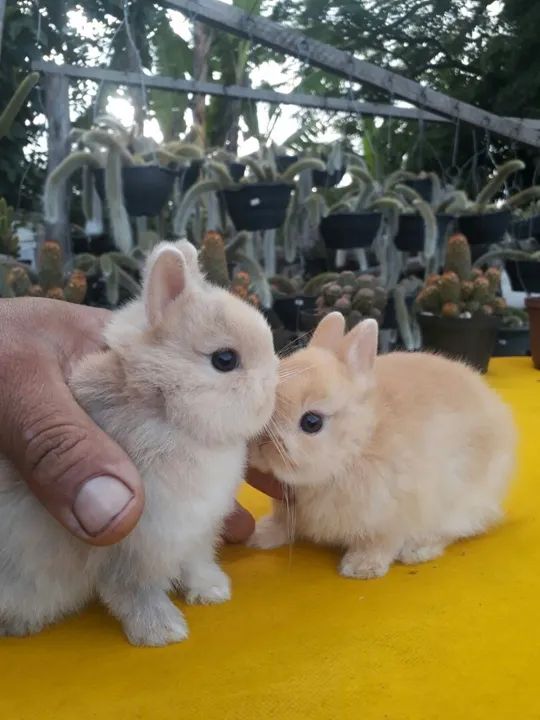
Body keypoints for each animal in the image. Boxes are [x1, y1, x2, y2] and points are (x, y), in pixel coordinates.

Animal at [0, 240, 278, 645]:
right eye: (225, 359)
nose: (273, 397)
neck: (167, 409)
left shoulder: (195, 531)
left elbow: (195, 562)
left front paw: (213, 591)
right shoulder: (134, 545)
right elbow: (135, 591)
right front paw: (163, 632)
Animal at [248, 312, 516, 580]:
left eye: (311, 422)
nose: (259, 442)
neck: (359, 446)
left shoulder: (389, 515)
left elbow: (380, 543)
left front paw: (360, 568)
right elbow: (282, 523)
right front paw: (259, 536)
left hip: (459, 503)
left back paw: (418, 551)